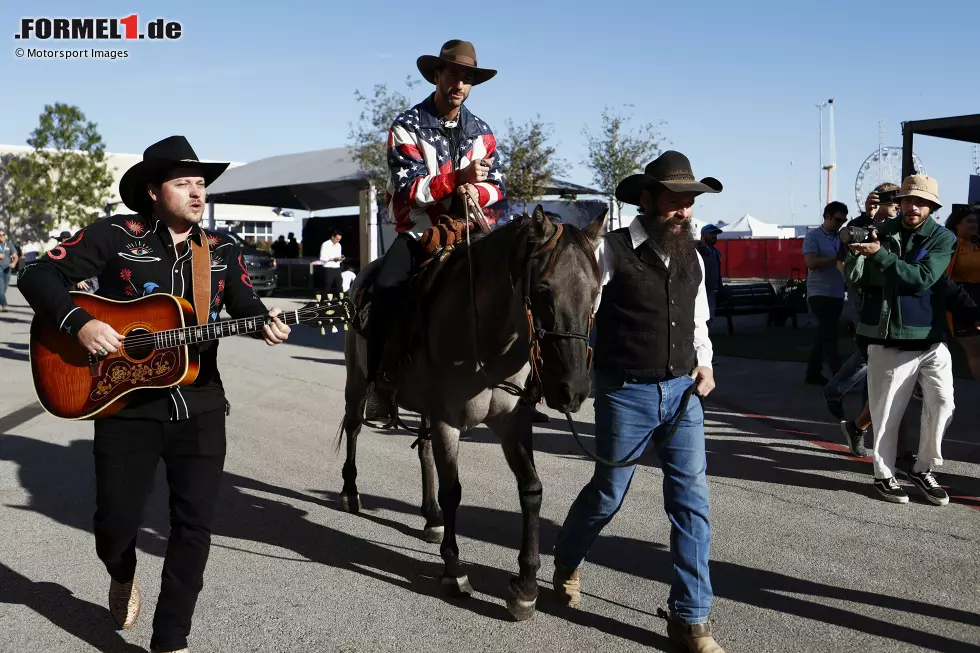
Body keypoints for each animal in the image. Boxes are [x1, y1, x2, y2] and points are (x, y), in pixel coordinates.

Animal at [336, 206, 604, 620]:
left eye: (595, 292)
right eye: (544, 290)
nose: (572, 389)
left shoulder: (512, 422)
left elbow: (531, 489)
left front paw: (525, 586)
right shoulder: (448, 421)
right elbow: (453, 491)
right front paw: (454, 570)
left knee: (424, 451)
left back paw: (431, 519)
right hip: (356, 380)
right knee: (352, 428)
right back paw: (351, 491)